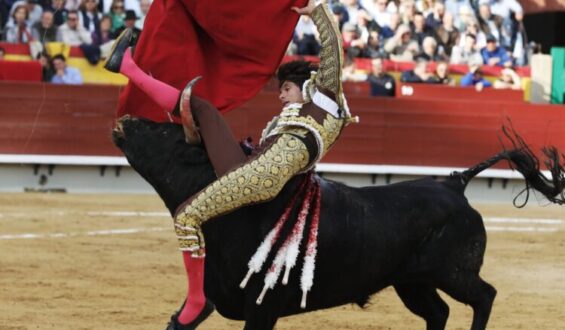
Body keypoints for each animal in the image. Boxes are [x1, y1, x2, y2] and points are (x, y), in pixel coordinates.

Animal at [112, 117, 560, 328]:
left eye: (166, 134)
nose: (126, 120)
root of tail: (454, 183)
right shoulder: (212, 295)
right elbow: (181, 320)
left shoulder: (262, 307)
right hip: (412, 282)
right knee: (438, 313)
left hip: (453, 273)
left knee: (484, 296)